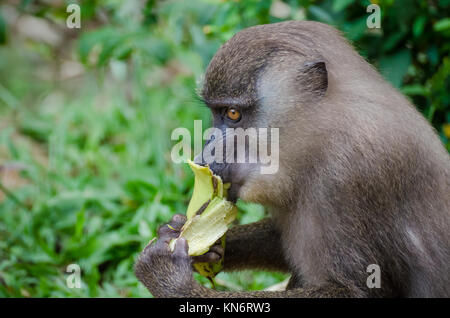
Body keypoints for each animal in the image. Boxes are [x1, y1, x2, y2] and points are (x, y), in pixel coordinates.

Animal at [135, 21, 450, 296]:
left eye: (233, 114)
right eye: (215, 112)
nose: (204, 155)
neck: (322, 137)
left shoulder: (351, 176)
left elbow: (358, 289)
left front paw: (169, 278)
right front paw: (186, 239)